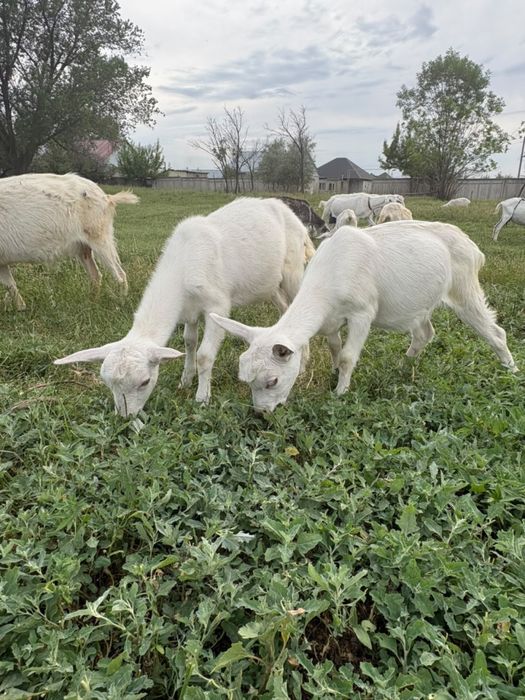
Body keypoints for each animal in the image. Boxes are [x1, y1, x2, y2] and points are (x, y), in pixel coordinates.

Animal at [0, 173, 137, 309]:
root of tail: (107, 197)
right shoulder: (2, 262)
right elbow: (11, 285)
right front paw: (21, 308)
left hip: (100, 237)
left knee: (120, 274)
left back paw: (120, 304)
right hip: (83, 247)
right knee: (95, 275)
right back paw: (91, 304)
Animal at [54, 197, 314, 414]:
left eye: (145, 381)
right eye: (107, 383)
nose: (126, 416)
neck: (179, 269)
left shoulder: (217, 305)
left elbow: (204, 355)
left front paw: (202, 398)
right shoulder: (189, 311)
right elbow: (189, 343)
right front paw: (185, 381)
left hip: (293, 270)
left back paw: (302, 366)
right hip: (271, 286)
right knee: (285, 309)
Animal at [211, 220, 517, 412]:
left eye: (272, 381)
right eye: (245, 381)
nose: (261, 412)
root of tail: (473, 248)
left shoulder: (362, 313)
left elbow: (348, 356)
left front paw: (340, 392)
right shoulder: (332, 320)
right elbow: (335, 346)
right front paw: (335, 372)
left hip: (464, 287)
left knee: (494, 332)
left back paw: (511, 370)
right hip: (421, 304)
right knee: (425, 333)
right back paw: (404, 366)